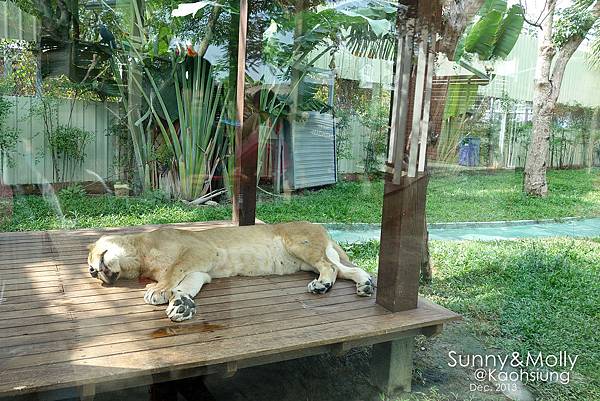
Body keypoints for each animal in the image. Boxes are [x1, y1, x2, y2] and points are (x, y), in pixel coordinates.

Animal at [86, 222, 372, 322]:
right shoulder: (200, 271)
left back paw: (321, 285)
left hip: (301, 245)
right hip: (309, 260)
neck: (140, 257)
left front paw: (157, 290)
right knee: (348, 269)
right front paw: (182, 304)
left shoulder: (198, 250)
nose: (91, 272)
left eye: (95, 257)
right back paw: (365, 285)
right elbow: (184, 286)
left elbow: (174, 272)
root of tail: (320, 225)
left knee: (330, 267)